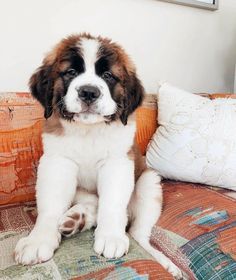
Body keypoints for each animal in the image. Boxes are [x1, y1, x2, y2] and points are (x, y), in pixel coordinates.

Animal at [13, 33, 182, 278]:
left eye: (108, 76)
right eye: (71, 72)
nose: (89, 92)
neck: (88, 130)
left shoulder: (117, 163)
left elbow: (112, 202)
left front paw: (111, 236)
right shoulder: (57, 162)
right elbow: (50, 205)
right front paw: (38, 240)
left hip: (149, 183)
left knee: (139, 234)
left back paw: (166, 263)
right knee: (94, 203)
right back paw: (78, 219)